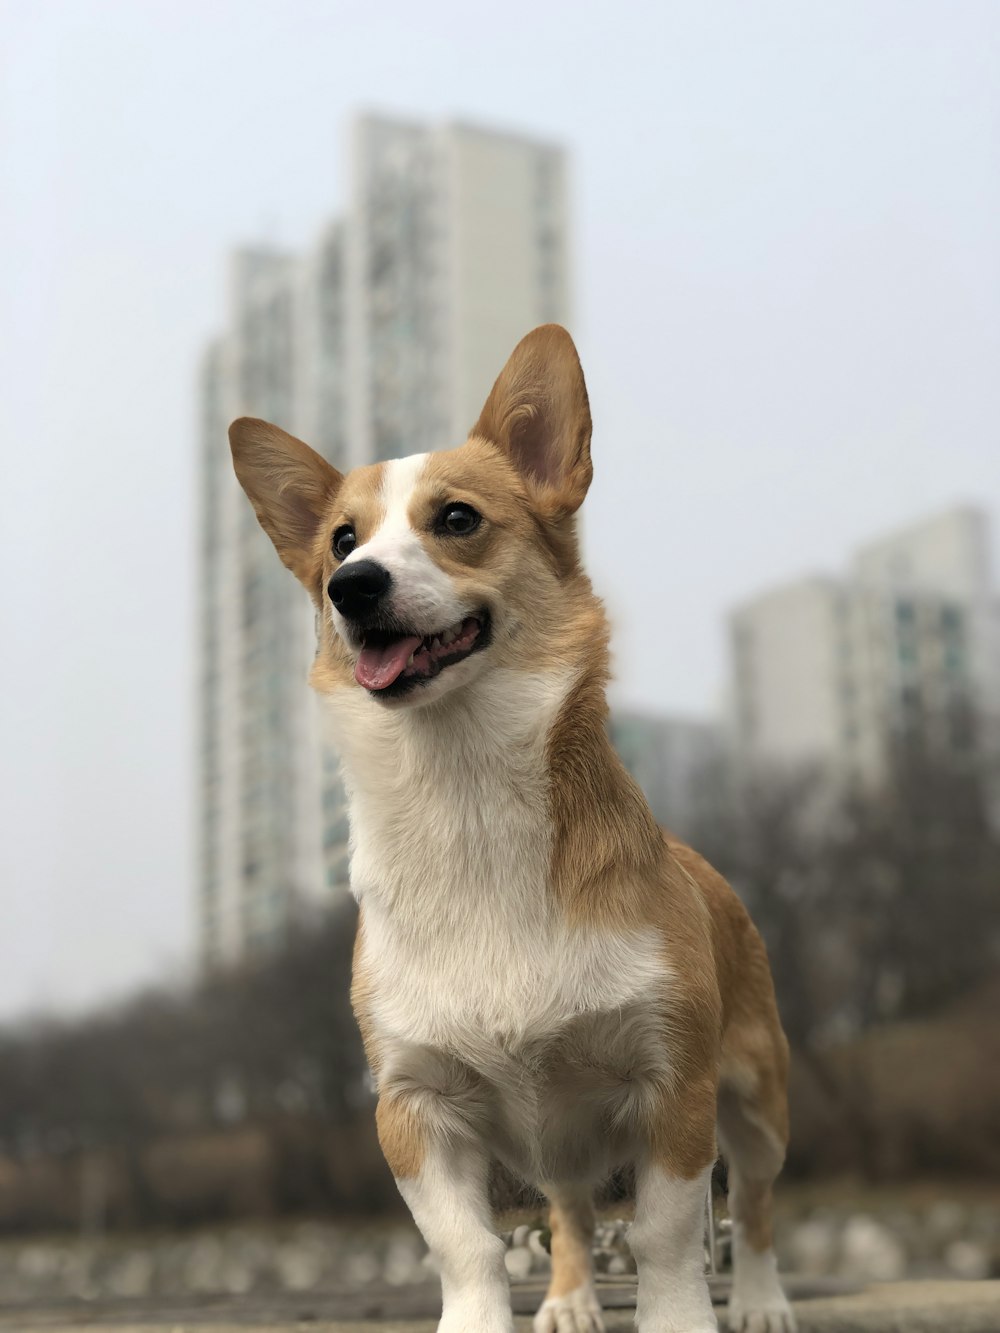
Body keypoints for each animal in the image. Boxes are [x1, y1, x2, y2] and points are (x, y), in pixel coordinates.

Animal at [230, 325, 794, 1333]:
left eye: (457, 519)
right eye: (340, 539)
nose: (351, 585)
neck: (463, 793)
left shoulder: (674, 1086)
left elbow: (666, 1237)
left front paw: (681, 1312)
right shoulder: (415, 1106)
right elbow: (467, 1247)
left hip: (761, 1101)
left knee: (757, 1203)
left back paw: (764, 1298)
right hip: (552, 1142)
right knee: (568, 1207)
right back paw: (569, 1296)